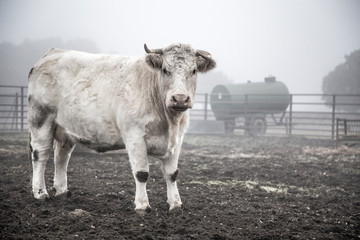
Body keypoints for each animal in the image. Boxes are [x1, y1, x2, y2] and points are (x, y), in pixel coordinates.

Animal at [27, 43, 217, 214]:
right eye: (164, 70)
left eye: (193, 71)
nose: (180, 98)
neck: (169, 122)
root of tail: (52, 53)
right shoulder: (134, 136)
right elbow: (141, 173)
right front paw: (142, 206)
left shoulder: (177, 140)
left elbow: (172, 174)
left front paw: (176, 205)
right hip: (41, 118)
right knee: (40, 154)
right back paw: (40, 193)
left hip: (65, 127)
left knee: (61, 157)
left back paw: (62, 191)